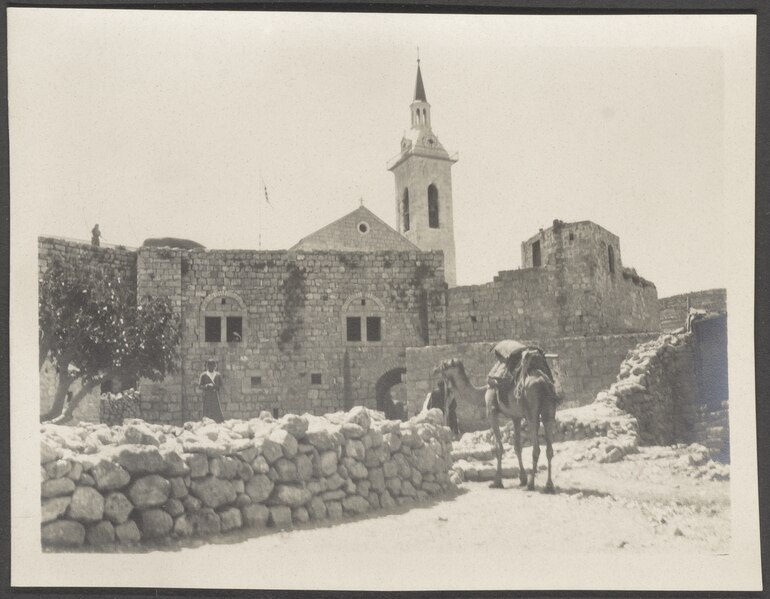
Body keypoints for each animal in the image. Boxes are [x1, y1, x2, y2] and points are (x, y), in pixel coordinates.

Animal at [438, 346, 560, 492]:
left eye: (444, 367)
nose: (436, 370)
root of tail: (544, 382)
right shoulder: (516, 416)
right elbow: (517, 447)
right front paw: (522, 479)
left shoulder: (492, 411)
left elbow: (498, 447)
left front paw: (497, 481)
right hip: (549, 410)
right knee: (549, 447)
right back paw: (549, 486)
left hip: (532, 410)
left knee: (536, 447)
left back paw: (531, 484)